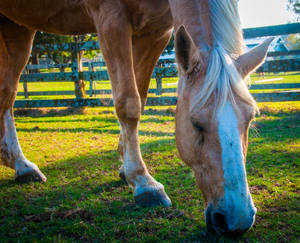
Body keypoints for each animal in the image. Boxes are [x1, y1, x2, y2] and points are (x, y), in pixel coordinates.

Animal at [0, 0, 272, 235]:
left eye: (250, 119)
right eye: (195, 123)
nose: (237, 219)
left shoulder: (156, 32)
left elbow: (140, 95)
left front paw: (125, 167)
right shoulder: (111, 19)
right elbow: (128, 103)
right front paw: (143, 182)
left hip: (16, 27)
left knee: (8, 92)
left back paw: (17, 163)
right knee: (7, 95)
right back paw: (22, 164)